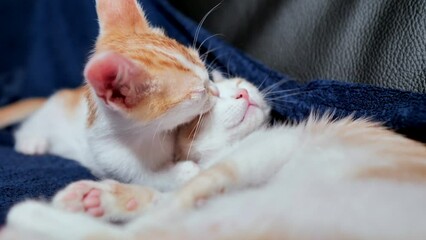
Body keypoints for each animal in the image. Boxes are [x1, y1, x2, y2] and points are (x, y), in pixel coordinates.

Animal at [0, 0, 213, 191]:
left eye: (206, 72)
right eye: (198, 92)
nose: (215, 92)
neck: (144, 136)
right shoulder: (112, 162)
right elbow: (146, 179)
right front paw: (183, 173)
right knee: (27, 128)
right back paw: (31, 142)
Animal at [3, 77, 426, 240]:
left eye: (235, 81)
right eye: (203, 111)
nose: (242, 94)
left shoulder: (269, 146)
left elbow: (179, 195)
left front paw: (109, 198)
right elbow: (177, 189)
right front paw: (110, 197)